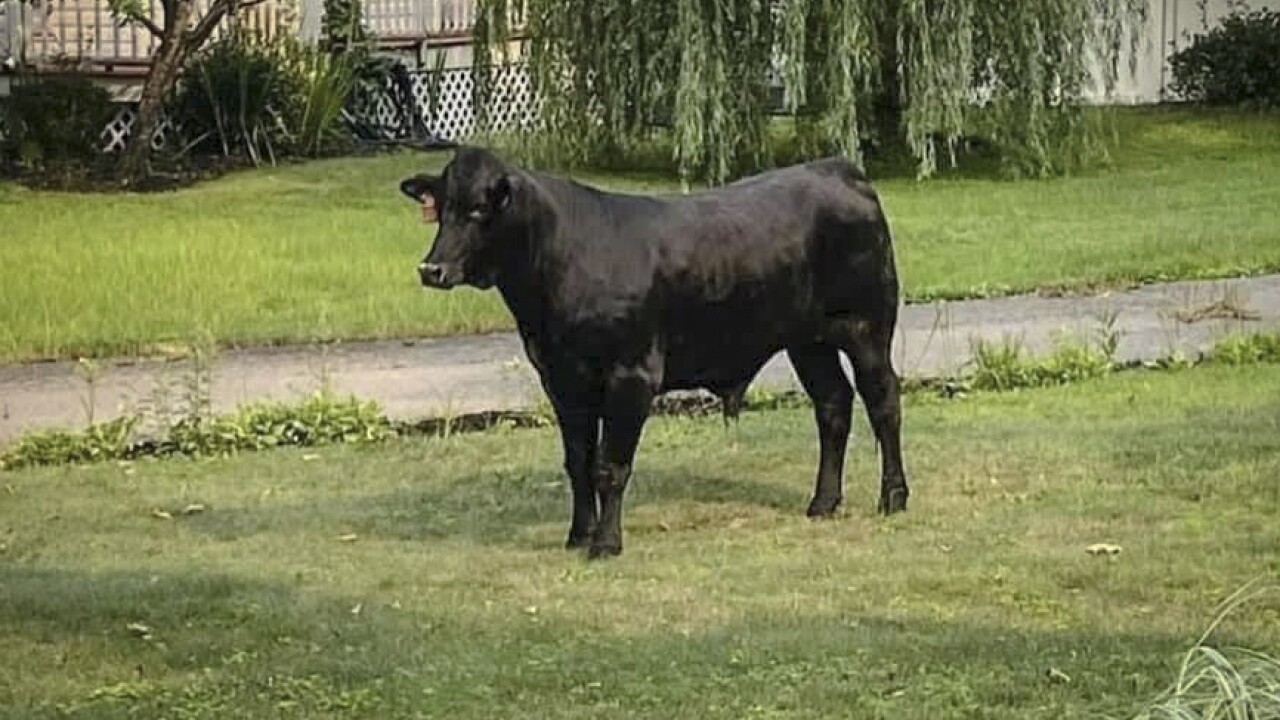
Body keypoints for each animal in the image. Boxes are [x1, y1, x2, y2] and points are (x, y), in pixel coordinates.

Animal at [400, 146, 909, 558]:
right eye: (441, 207)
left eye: (479, 210)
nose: (431, 269)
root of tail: (836, 168)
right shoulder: (561, 379)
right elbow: (577, 463)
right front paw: (578, 535)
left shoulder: (631, 375)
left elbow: (610, 465)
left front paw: (606, 543)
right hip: (807, 341)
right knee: (833, 405)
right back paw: (823, 502)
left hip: (866, 326)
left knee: (882, 401)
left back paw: (893, 497)